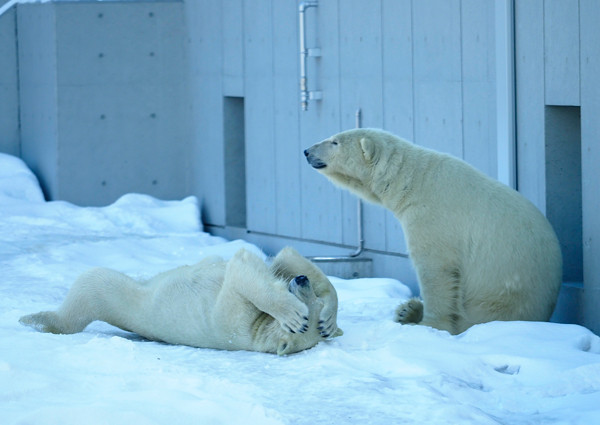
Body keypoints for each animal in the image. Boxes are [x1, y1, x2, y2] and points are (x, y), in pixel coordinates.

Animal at [19, 245, 342, 354]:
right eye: (313, 300)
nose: (301, 282)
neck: (256, 332)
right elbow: (285, 257)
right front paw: (329, 320)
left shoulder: (235, 317)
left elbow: (243, 267)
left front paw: (292, 313)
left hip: (122, 298)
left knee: (90, 288)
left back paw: (34, 319)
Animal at [304, 127, 564, 332]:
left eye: (335, 141)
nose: (307, 151)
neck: (412, 181)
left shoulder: (433, 216)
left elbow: (436, 268)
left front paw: (430, 325)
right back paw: (407, 309)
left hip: (501, 292)